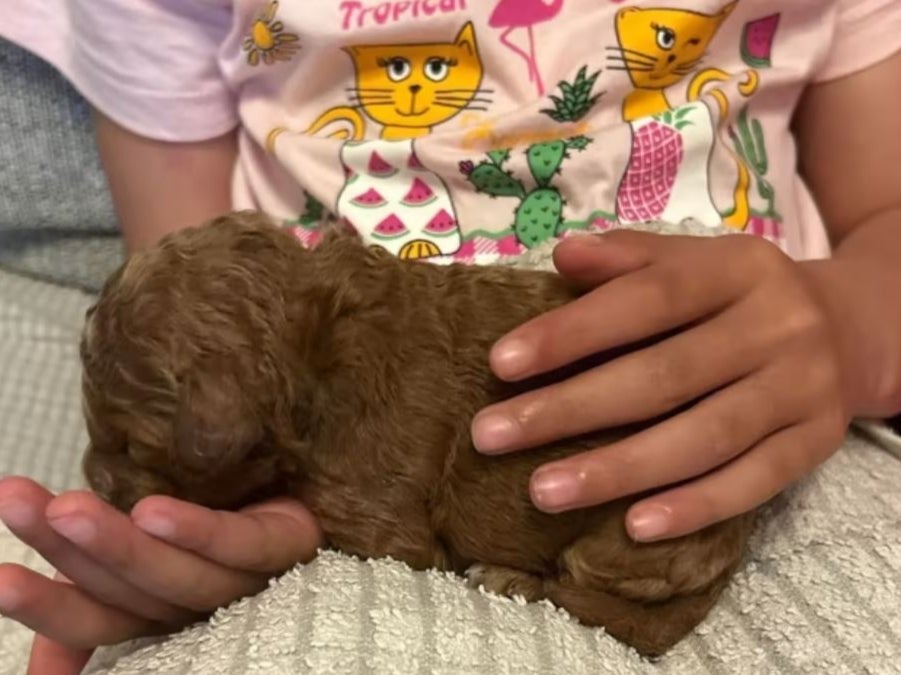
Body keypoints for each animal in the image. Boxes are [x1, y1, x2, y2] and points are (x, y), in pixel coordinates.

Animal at [77, 211, 756, 656]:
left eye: (132, 445)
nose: (92, 479)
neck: (315, 340)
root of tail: (736, 533)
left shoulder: (380, 520)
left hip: (630, 539)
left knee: (610, 608)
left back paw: (509, 579)